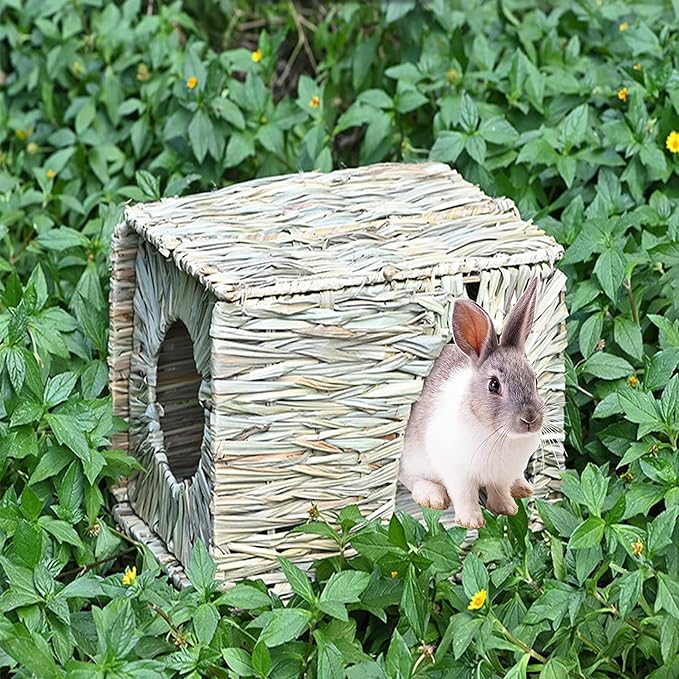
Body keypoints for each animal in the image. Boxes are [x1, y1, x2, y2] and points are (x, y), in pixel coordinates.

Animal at [399, 279, 543, 529]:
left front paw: (508, 509)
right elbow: (464, 496)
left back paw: (522, 487)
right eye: (494, 385)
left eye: (535, 380)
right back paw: (433, 496)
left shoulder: (501, 476)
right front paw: (472, 522)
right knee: (409, 477)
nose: (530, 418)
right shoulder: (458, 474)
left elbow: (500, 491)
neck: (498, 435)